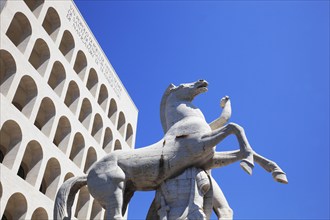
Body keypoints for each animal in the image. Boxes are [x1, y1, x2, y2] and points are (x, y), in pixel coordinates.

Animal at [54, 80, 286, 219]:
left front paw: (277, 173)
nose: (202, 82)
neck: (185, 122)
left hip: (126, 192)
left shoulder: (209, 158)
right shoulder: (200, 143)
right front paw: (247, 164)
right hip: (114, 190)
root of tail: (87, 175)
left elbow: (241, 147)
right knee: (115, 215)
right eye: (183, 85)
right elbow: (235, 127)